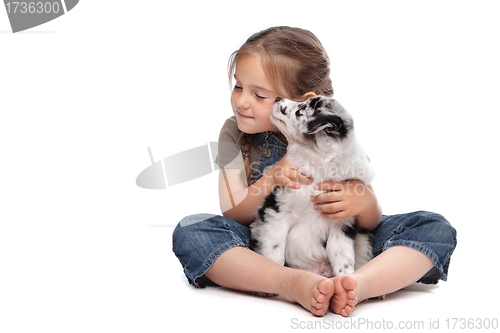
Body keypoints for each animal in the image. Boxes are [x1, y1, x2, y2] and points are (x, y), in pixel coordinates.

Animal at [250, 95, 376, 280]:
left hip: (363, 240)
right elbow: (275, 251)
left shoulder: (341, 221)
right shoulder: (277, 210)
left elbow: (343, 257)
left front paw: (345, 281)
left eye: (302, 108)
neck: (319, 167)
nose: (277, 98)